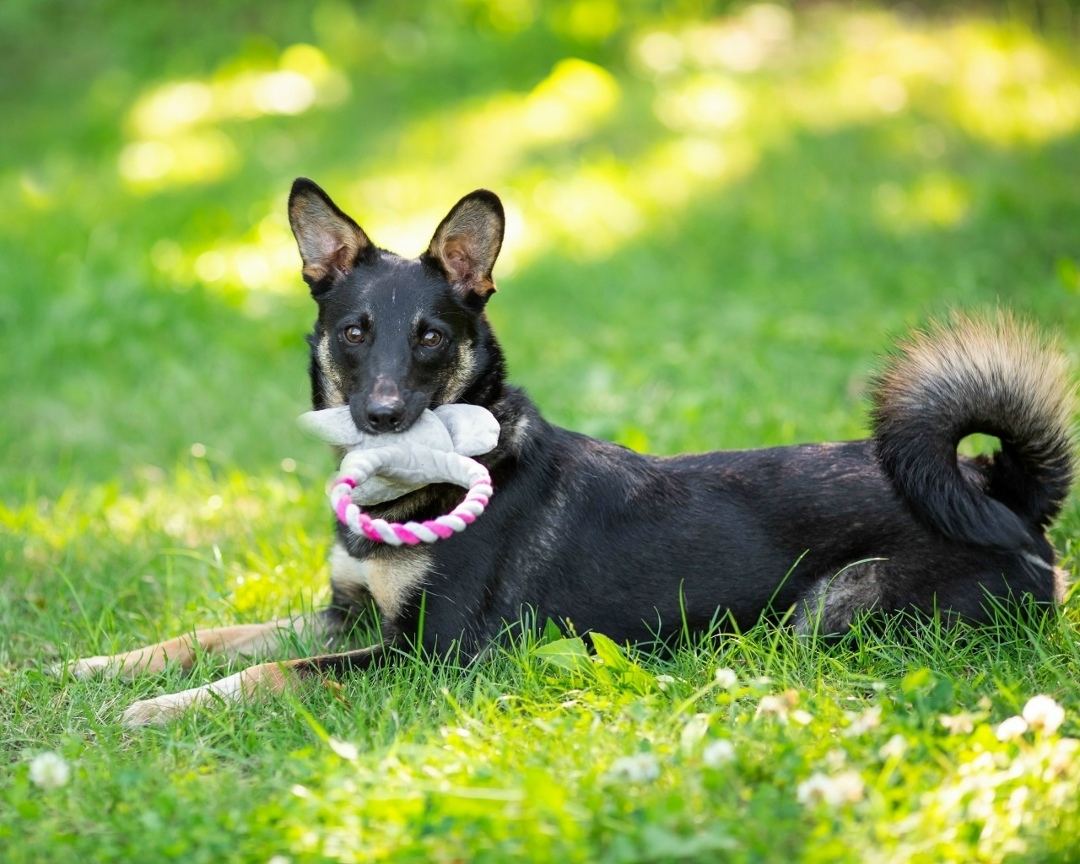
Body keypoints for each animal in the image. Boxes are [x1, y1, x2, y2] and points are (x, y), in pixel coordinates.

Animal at [65, 181, 1075, 725]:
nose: (383, 416)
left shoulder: (424, 654)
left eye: (431, 337)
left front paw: (161, 709)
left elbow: (266, 670)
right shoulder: (346, 618)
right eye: (353, 333)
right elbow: (211, 636)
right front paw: (106, 667)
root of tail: (1002, 491)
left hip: (832, 610)